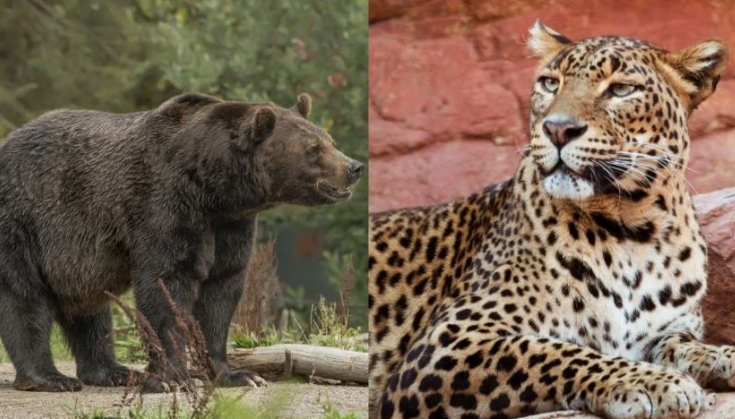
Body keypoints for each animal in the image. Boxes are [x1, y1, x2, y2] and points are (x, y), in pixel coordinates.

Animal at [0, 92, 363, 392]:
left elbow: (221, 291)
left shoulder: (230, 225)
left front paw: (236, 374)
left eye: (329, 140)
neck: (212, 186)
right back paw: (49, 378)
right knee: (24, 299)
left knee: (90, 311)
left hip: (76, 261)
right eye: (312, 149)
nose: (354, 166)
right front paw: (171, 378)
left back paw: (112, 371)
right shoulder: (165, 205)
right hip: (23, 222)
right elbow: (166, 284)